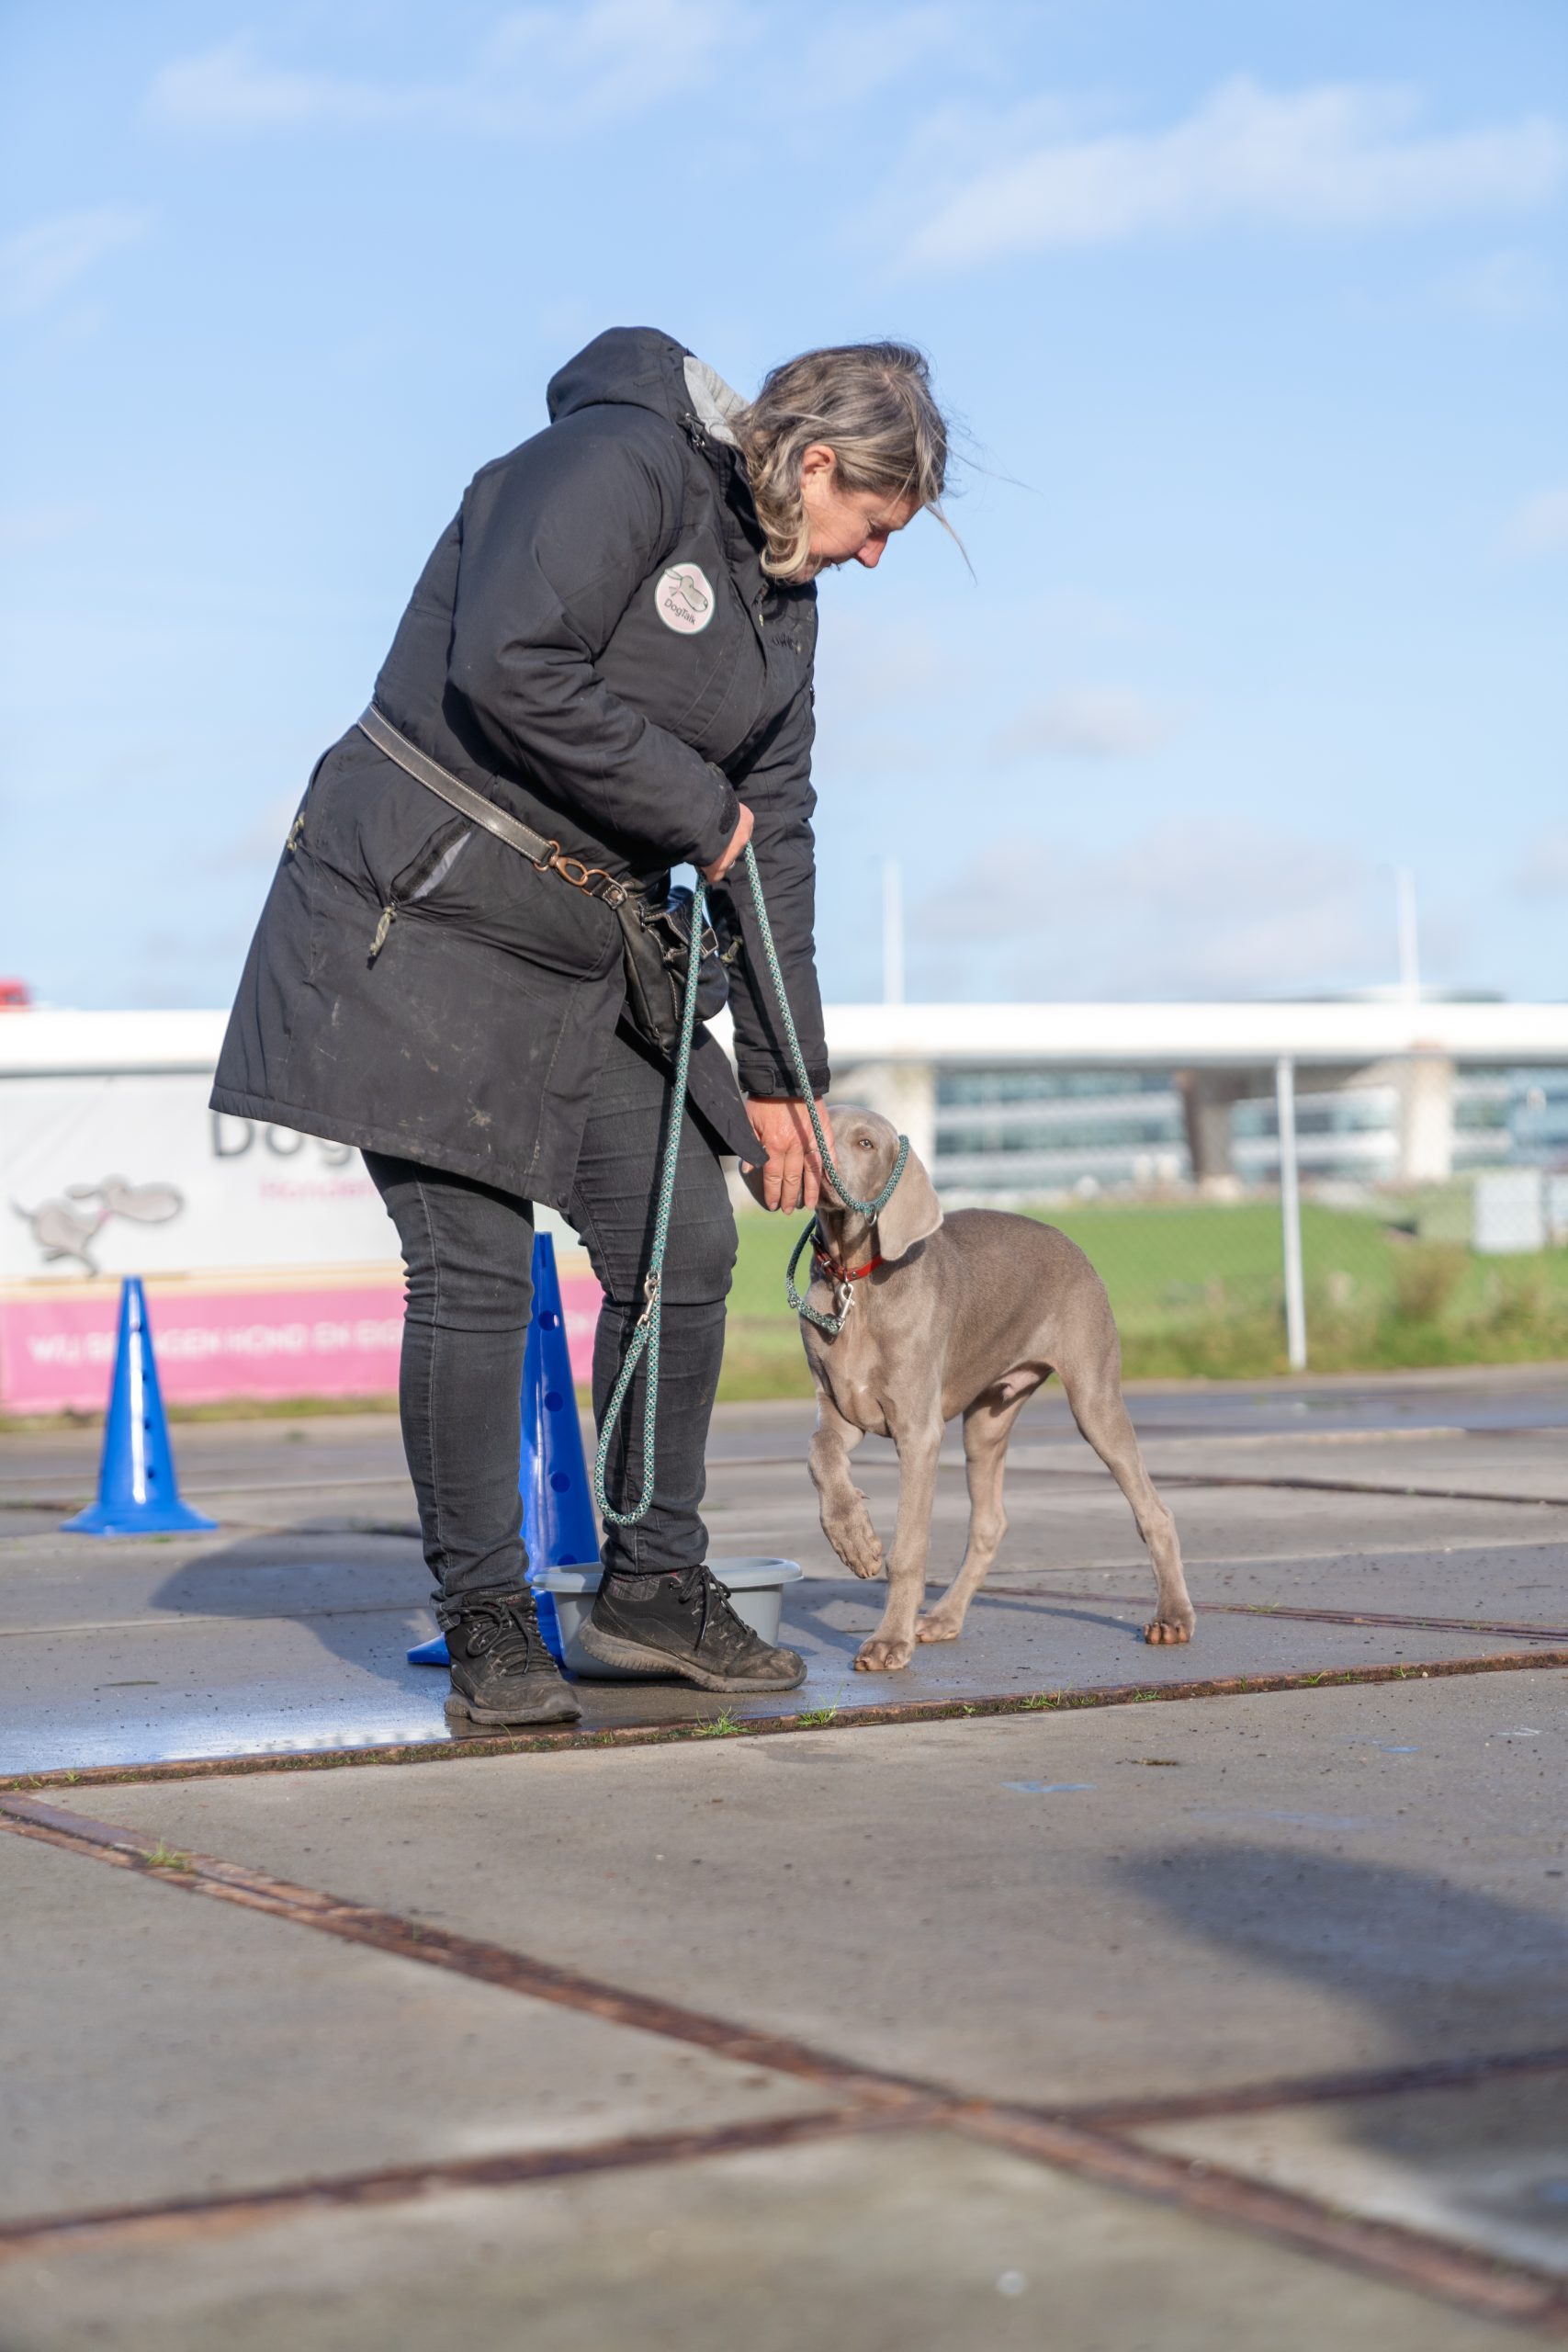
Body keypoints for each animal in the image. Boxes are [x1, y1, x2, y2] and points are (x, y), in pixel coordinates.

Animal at [804, 1105, 1194, 1674]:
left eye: (865, 1143)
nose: (818, 1158)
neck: (854, 1279)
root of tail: (1069, 1240)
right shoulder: (842, 1409)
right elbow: (819, 1453)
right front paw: (853, 1539)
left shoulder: (917, 1430)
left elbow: (910, 1546)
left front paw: (889, 1641)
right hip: (986, 1420)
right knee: (990, 1522)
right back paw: (944, 1617)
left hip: (1094, 1398)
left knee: (1154, 1512)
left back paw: (1172, 1618)